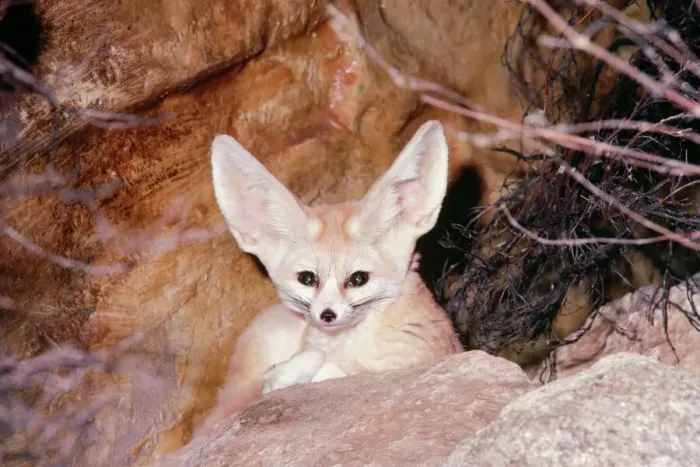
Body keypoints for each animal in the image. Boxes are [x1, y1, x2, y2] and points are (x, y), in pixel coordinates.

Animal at [194, 120, 462, 438]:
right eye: (308, 278)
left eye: (358, 279)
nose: (327, 315)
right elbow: (310, 361)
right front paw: (282, 375)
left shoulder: (411, 359)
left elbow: (331, 368)